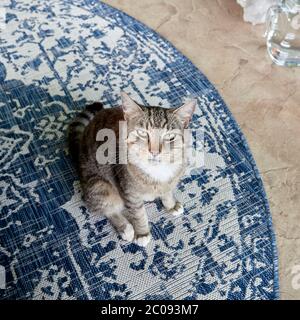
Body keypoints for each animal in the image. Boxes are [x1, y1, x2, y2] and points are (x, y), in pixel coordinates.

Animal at [68, 91, 197, 246]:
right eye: (142, 133)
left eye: (170, 136)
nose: (154, 152)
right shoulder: (130, 193)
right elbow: (138, 214)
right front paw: (142, 233)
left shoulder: (170, 181)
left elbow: (167, 193)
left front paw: (171, 205)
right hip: (100, 186)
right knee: (107, 208)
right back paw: (125, 228)